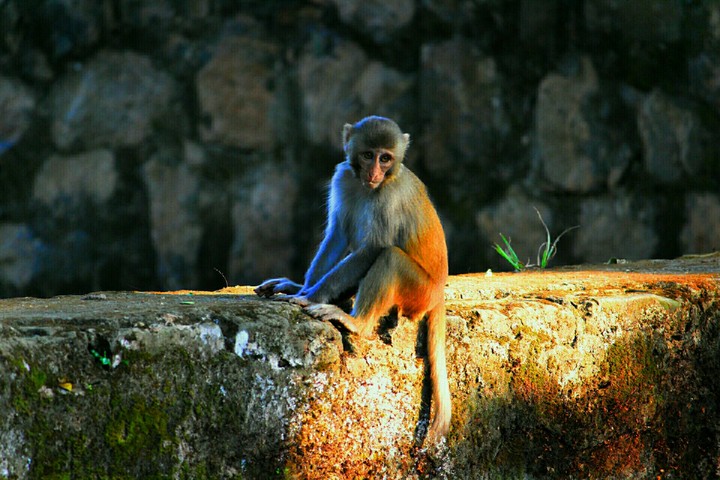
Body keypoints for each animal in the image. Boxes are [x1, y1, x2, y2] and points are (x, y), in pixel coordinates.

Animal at [255, 116, 450, 443]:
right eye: (368, 155)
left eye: (386, 158)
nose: (374, 173)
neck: (370, 185)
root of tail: (438, 295)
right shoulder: (343, 177)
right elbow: (337, 234)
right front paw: (302, 288)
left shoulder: (387, 197)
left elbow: (373, 247)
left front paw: (311, 296)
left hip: (419, 291)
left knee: (390, 256)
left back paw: (356, 322)